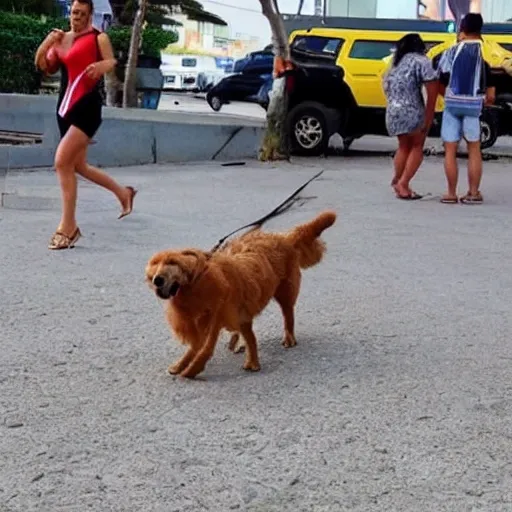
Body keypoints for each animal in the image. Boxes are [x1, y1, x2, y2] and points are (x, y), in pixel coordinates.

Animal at [144, 210, 336, 378]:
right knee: (246, 331)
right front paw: (181, 365)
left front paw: (193, 370)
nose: (156, 280)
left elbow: (206, 347)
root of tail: (284, 237)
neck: (199, 280)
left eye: (171, 262)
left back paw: (286, 340)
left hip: (285, 292)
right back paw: (244, 350)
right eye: (154, 264)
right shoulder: (209, 318)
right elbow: (197, 346)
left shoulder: (216, 316)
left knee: (287, 316)